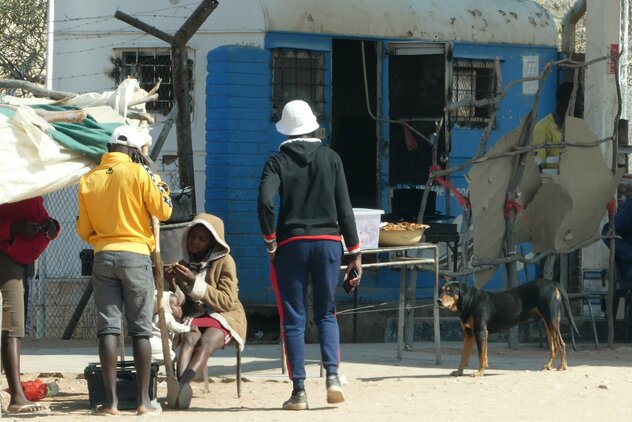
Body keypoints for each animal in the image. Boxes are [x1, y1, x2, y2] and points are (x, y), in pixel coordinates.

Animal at [440, 278, 576, 378]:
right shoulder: (469, 334)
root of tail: (553, 283)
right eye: (442, 290)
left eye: (450, 291)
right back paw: (548, 366)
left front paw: (479, 372)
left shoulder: (481, 332)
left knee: (561, 344)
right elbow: (464, 356)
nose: (438, 300)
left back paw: (563, 366)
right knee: (553, 347)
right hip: (548, 322)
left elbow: (481, 356)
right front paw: (459, 372)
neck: (469, 301)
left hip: (551, 320)